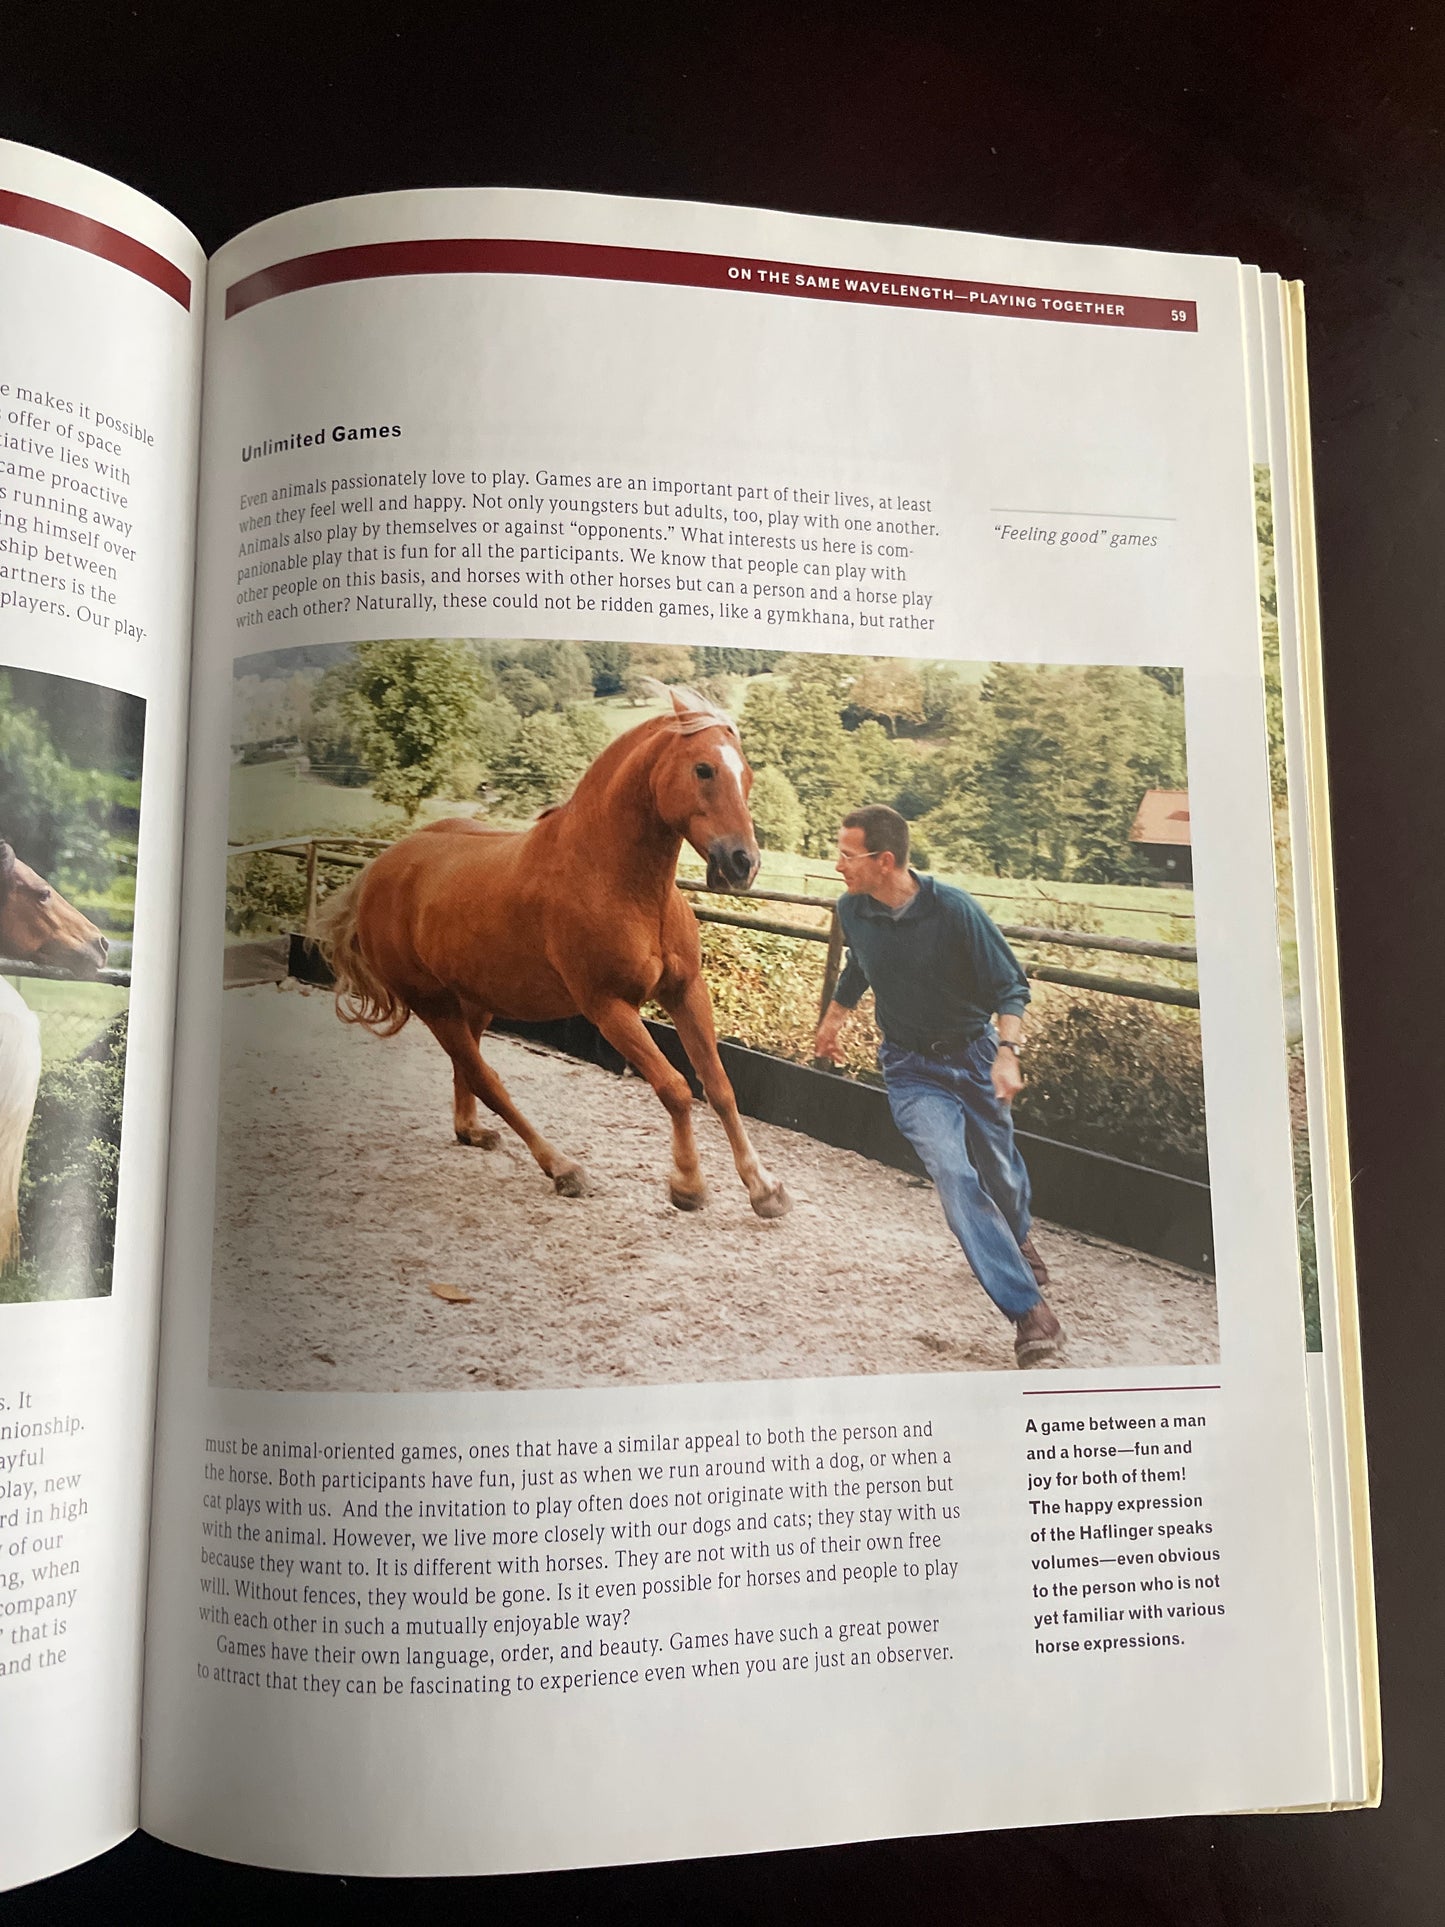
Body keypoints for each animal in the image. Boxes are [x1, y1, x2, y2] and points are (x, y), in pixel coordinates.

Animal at [318, 685, 792, 1220]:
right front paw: (687, 1186)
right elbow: (675, 1088)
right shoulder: (609, 1008)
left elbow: (720, 1087)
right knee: (487, 1079)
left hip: (474, 1002)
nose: (743, 864)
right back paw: (563, 1168)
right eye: (704, 769)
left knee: (470, 1072)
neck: (613, 879)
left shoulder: (685, 991)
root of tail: (377, 871)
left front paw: (764, 1189)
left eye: (746, 774)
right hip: (434, 1005)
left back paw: (473, 1132)